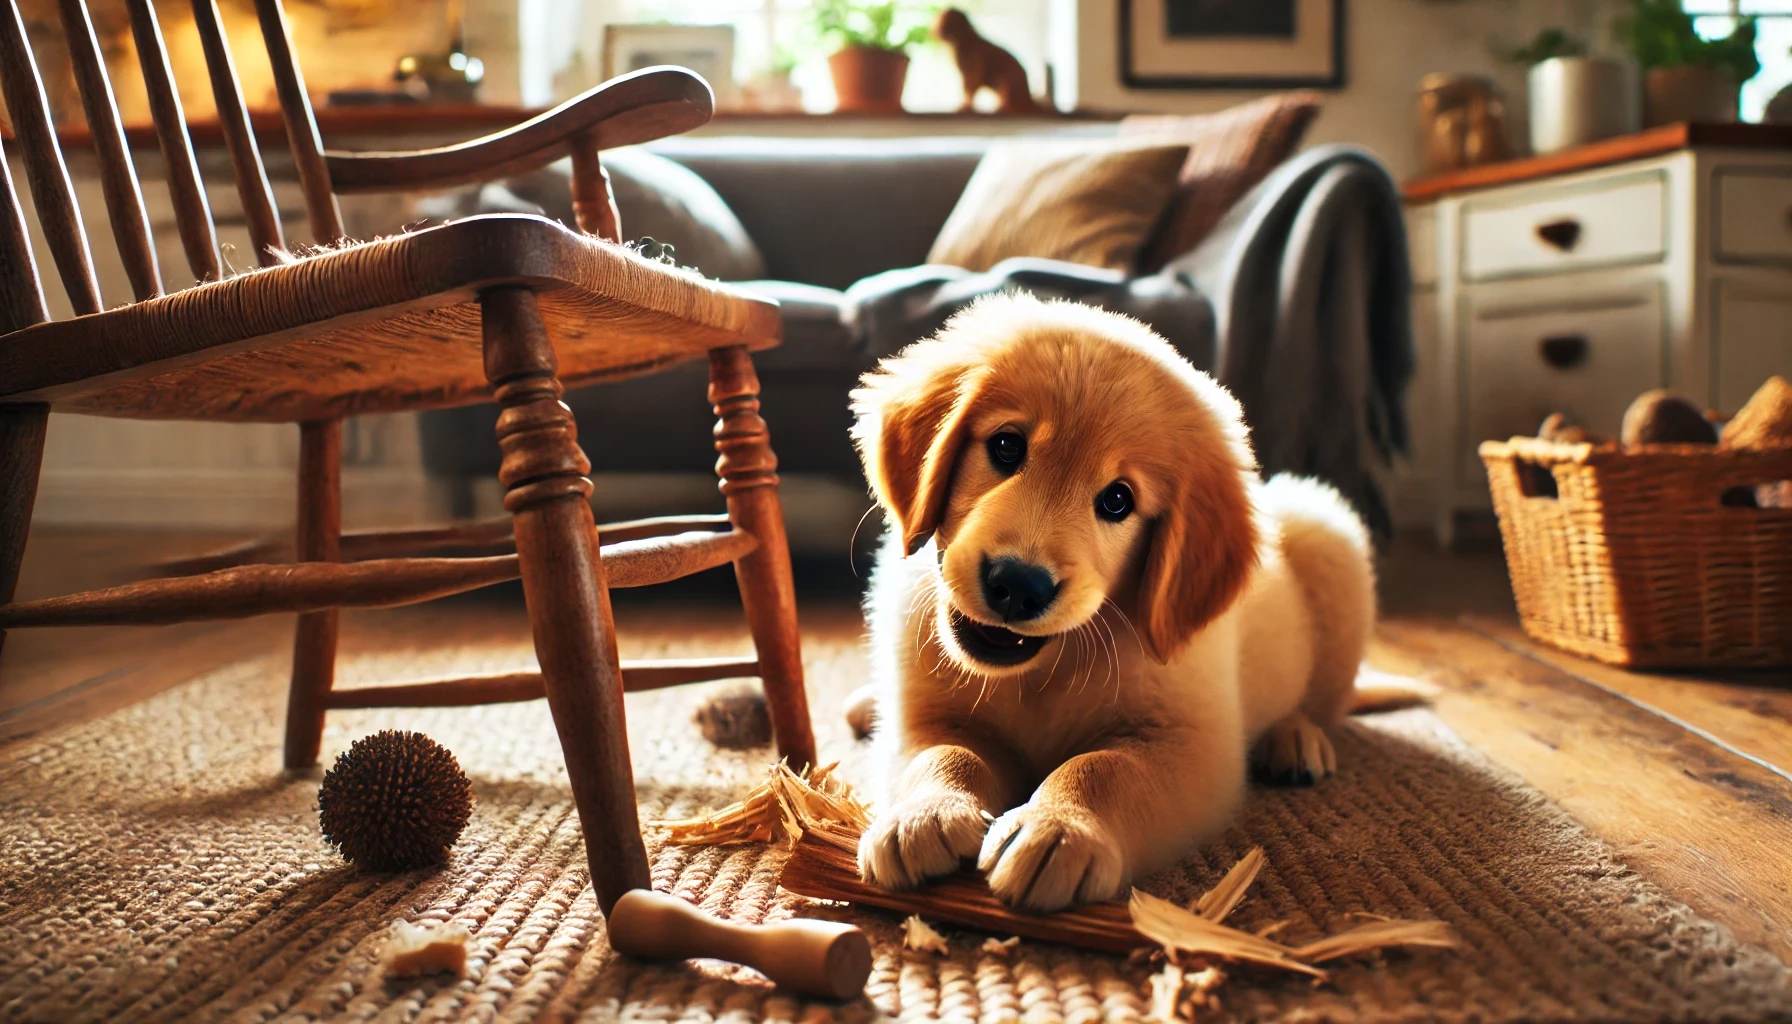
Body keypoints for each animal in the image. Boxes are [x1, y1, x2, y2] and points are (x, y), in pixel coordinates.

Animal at [845, 295, 1376, 914]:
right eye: (1006, 446)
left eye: (1118, 501)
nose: (1018, 584)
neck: (1043, 669)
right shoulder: (924, 714)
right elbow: (945, 753)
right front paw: (922, 815)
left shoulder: (1193, 745)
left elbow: (1106, 768)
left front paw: (1058, 829)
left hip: (1329, 540)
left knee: (1320, 704)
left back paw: (1295, 738)